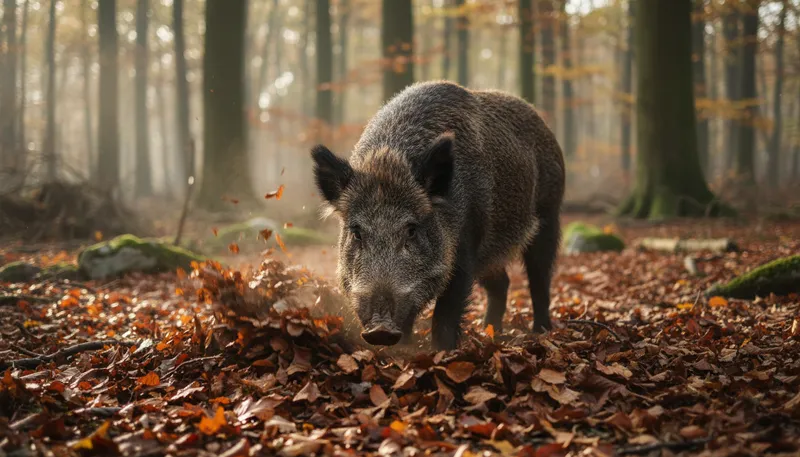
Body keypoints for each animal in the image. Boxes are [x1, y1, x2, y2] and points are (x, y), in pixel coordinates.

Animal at [310, 80, 565, 350]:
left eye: (412, 230)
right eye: (357, 232)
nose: (381, 328)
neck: (389, 161)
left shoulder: (465, 244)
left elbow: (446, 311)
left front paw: (441, 352)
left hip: (549, 214)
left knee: (540, 278)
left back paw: (541, 332)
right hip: (491, 252)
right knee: (502, 283)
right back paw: (490, 332)